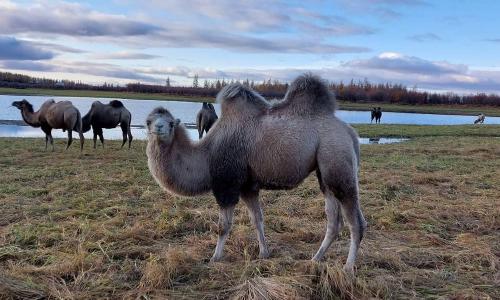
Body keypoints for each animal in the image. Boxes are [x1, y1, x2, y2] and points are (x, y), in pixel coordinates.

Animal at [146, 73, 368, 274]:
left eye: (171, 123)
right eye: (149, 121)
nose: (159, 128)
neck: (207, 155)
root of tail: (351, 133)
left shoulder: (227, 185)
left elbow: (223, 226)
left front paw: (215, 257)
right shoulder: (248, 186)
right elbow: (257, 219)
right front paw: (264, 253)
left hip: (337, 160)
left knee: (355, 222)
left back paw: (348, 268)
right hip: (325, 172)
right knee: (333, 220)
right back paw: (315, 259)